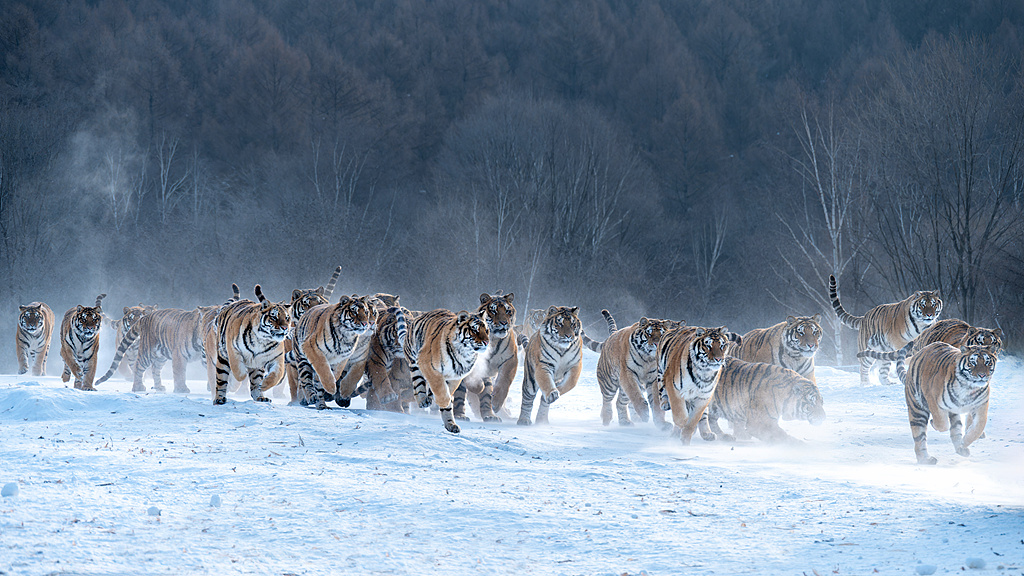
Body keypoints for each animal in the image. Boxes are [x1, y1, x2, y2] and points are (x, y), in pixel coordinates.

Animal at [452, 291, 520, 422]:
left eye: (507, 311)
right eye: (494, 311)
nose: (504, 323)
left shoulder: (510, 359)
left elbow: (504, 381)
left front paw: (496, 403)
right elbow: (475, 385)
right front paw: (479, 389)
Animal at [860, 338, 995, 463]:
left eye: (987, 363)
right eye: (973, 363)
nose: (982, 375)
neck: (968, 387)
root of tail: (919, 353)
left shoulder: (980, 405)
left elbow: (978, 427)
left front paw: (965, 442)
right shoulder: (933, 400)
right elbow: (942, 424)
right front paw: (933, 423)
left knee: (955, 429)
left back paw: (960, 449)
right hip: (917, 410)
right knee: (920, 437)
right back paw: (925, 460)